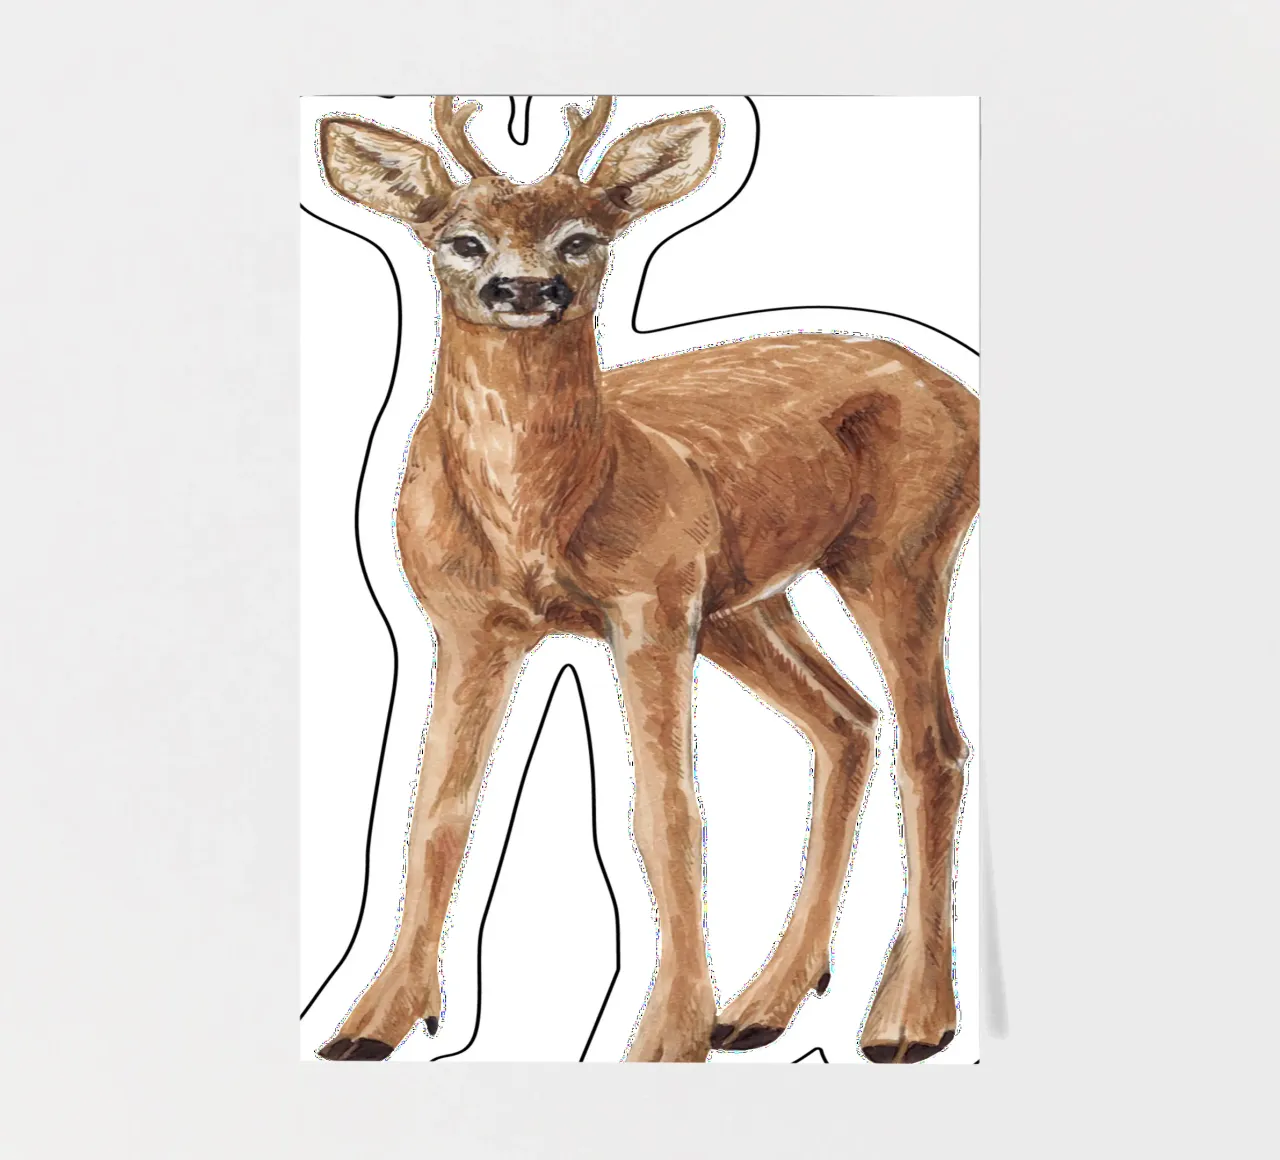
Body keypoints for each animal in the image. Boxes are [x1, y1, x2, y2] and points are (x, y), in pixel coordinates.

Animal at [312, 96, 978, 1064]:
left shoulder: (649, 605)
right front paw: (373, 1020)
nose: (525, 289)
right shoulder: (468, 623)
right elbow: (435, 813)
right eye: (463, 240)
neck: (537, 519)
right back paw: (765, 1004)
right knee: (849, 721)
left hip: (900, 552)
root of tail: (963, 395)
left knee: (934, 745)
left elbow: (667, 813)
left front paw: (669, 1032)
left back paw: (909, 1020)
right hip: (748, 602)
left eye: (583, 238)